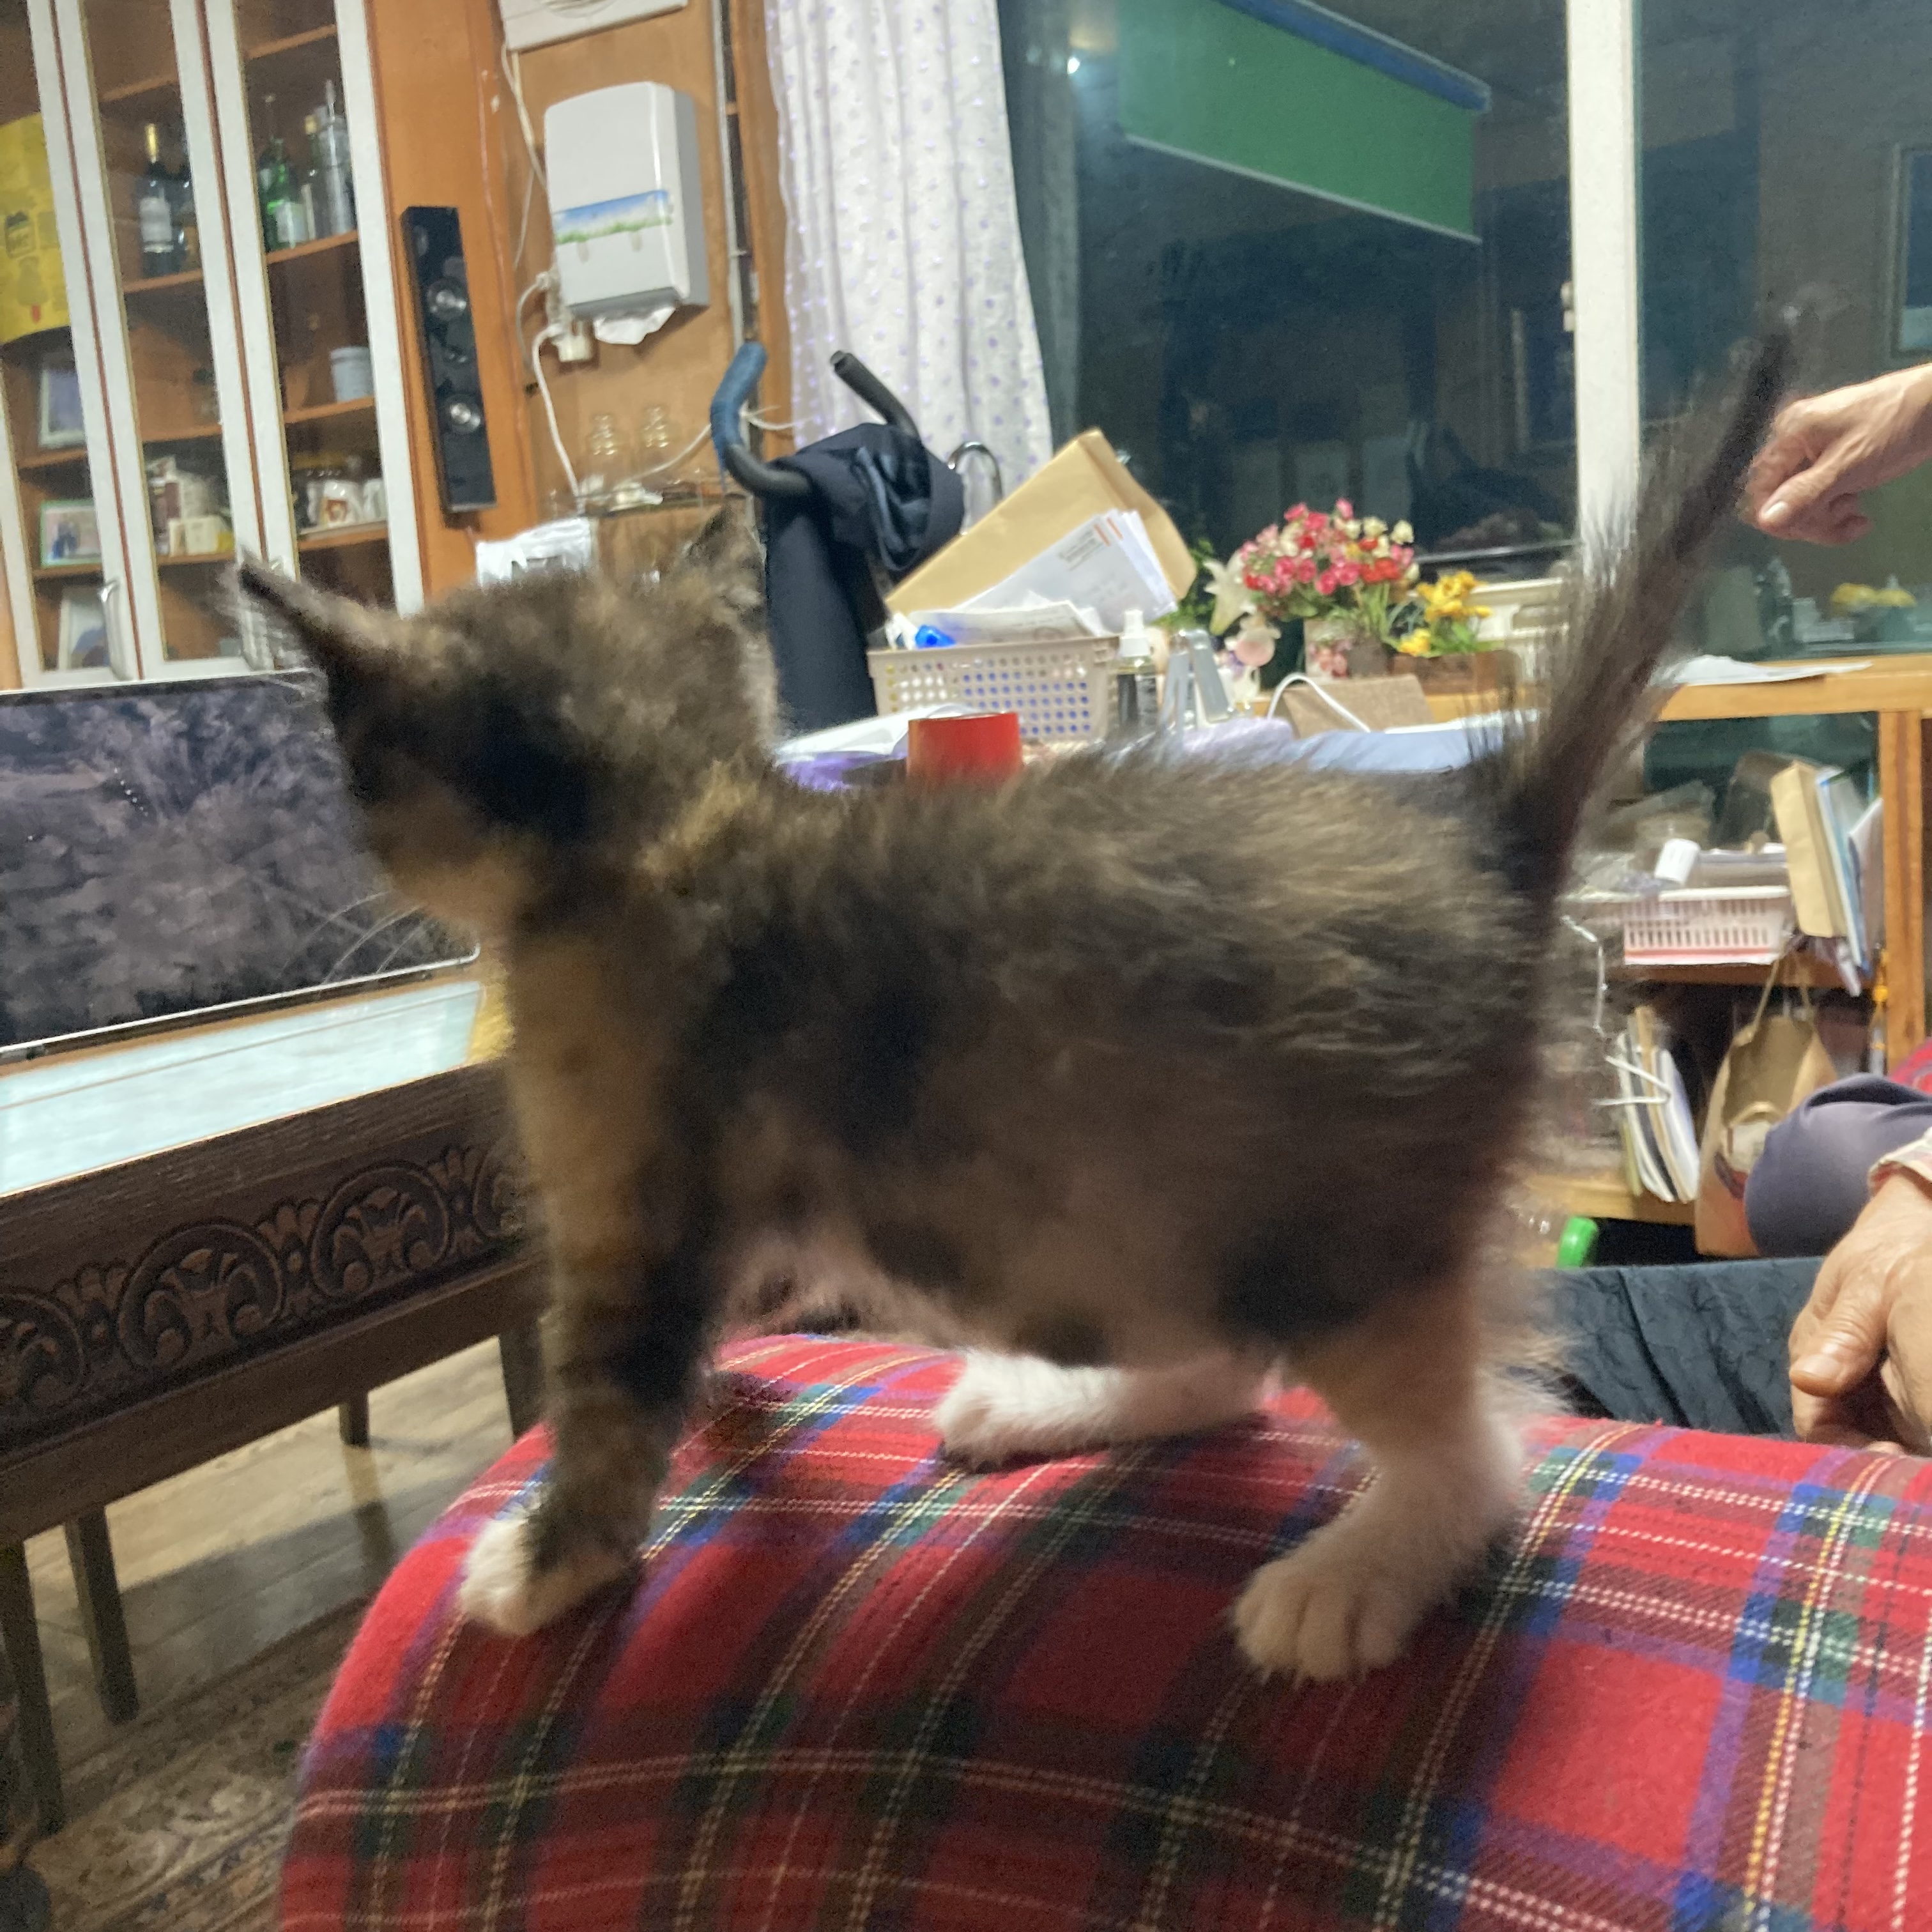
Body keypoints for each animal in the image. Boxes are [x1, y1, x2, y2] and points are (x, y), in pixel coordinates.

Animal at [237, 337, 1786, 1681]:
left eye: (358, 770)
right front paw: (738, 1392)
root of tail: (1484, 826)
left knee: (1478, 1450)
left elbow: (610, 1393)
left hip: (1339, 1226)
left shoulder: (631, 1202)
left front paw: (543, 1566)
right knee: (1225, 1364)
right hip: (1157, 1193)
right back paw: (1061, 1401)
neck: (677, 825)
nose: (348, 856)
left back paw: (1357, 1572)